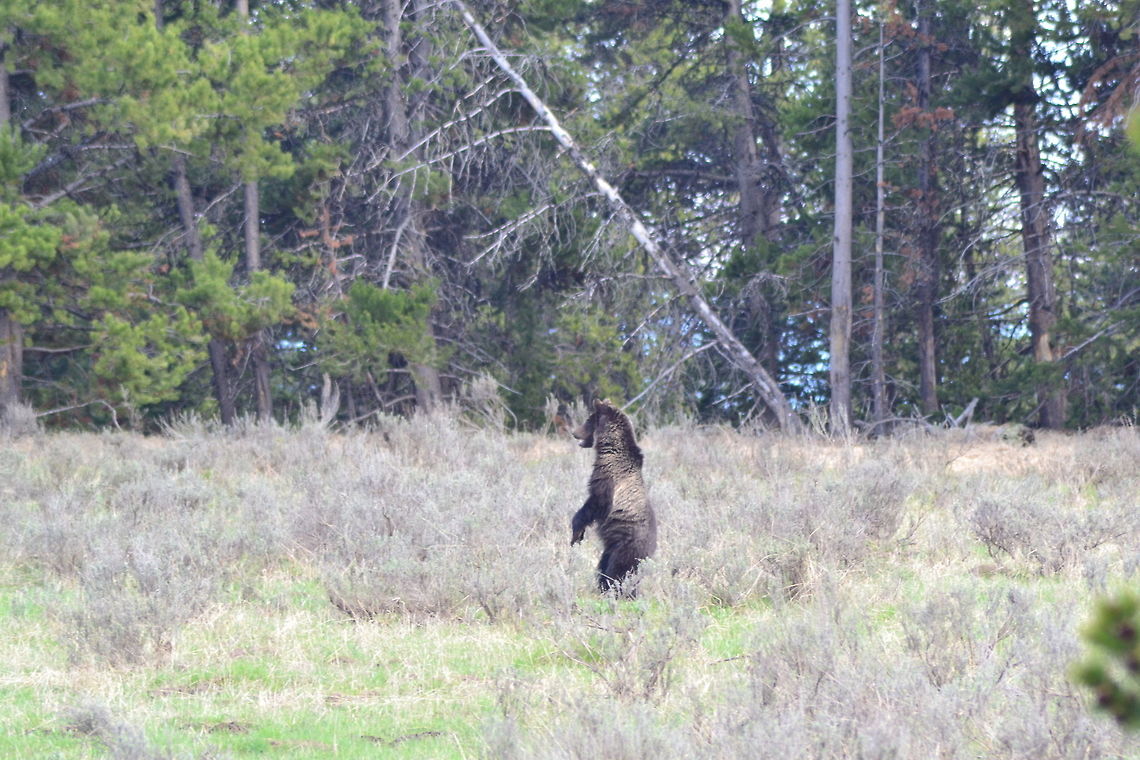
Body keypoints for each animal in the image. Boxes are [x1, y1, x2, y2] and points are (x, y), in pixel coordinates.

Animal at [569, 399, 657, 594]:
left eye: (588, 419)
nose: (574, 432)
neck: (610, 448)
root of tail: (651, 549)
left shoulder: (608, 478)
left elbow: (594, 504)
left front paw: (575, 532)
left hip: (625, 546)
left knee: (617, 572)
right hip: (610, 549)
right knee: (606, 568)